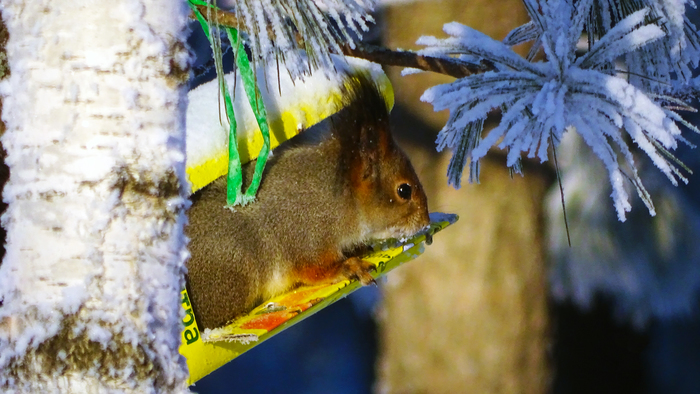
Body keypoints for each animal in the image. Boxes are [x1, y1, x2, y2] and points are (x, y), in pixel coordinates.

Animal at [183, 74, 430, 330]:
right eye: (404, 190)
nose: (425, 221)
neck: (336, 198)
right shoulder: (307, 236)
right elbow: (313, 270)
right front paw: (348, 267)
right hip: (236, 268)